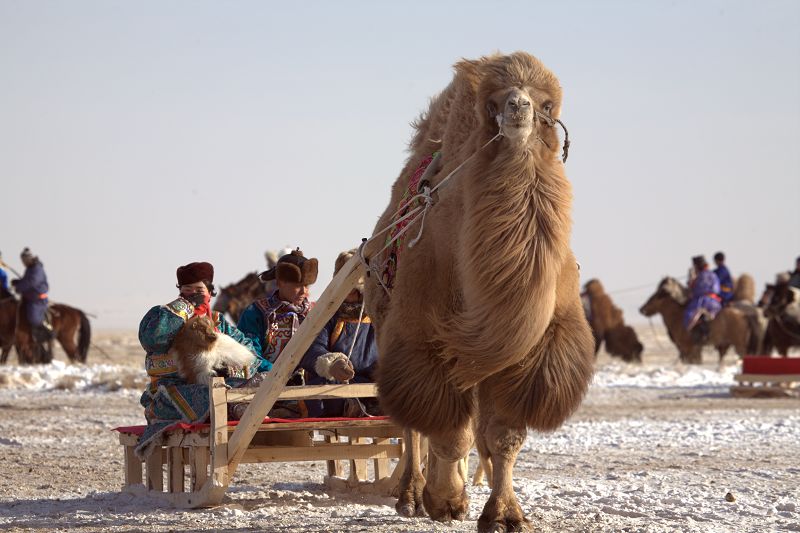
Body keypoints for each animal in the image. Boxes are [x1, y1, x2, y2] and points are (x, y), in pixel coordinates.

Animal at [362, 53, 592, 532]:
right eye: (494, 101)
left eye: (547, 105)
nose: (519, 107)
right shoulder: (423, 328)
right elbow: (449, 430)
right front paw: (446, 501)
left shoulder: (529, 352)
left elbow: (503, 437)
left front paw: (504, 515)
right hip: (389, 320)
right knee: (413, 424)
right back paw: (410, 495)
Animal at [636, 274, 764, 366]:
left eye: (657, 295)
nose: (642, 309)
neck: (678, 316)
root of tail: (746, 315)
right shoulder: (691, 350)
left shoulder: (688, 348)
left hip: (740, 345)